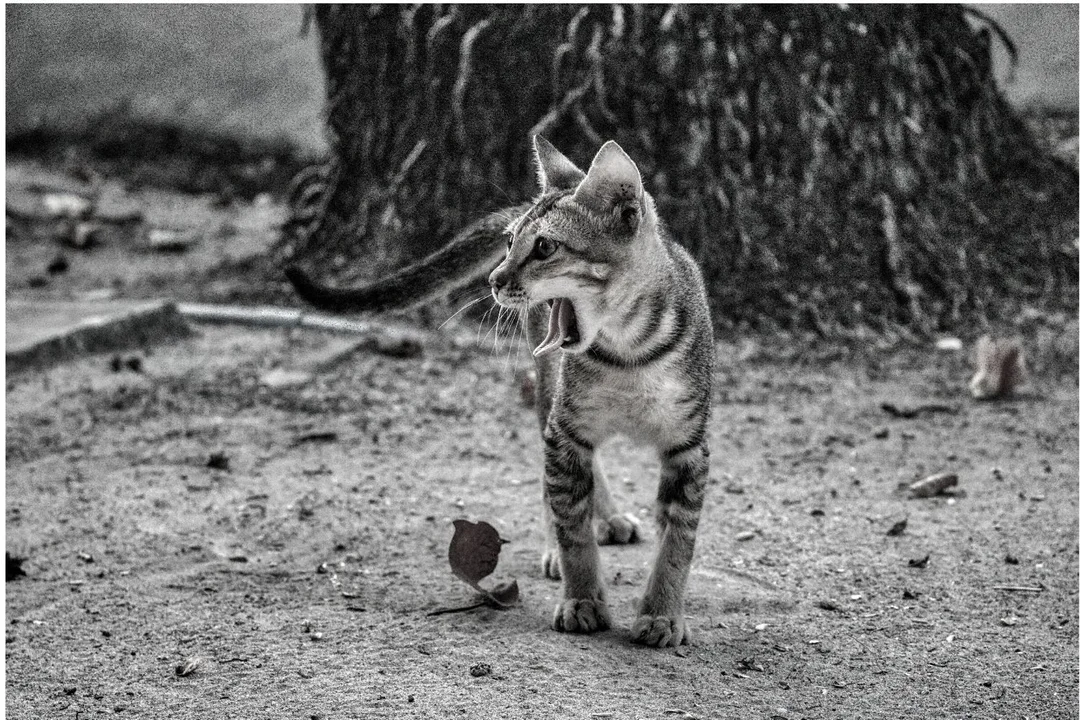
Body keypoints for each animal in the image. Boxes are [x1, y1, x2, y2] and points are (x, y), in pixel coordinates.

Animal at [285, 136, 717, 647]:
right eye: (510, 242)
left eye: (545, 247)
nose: (494, 279)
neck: (628, 351)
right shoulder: (566, 429)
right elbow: (573, 527)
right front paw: (582, 597)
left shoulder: (688, 446)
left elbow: (678, 540)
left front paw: (662, 612)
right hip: (550, 389)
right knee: (557, 483)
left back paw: (608, 517)